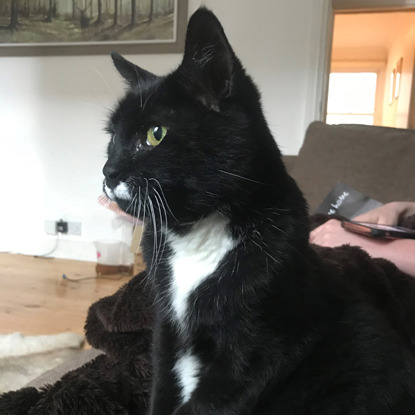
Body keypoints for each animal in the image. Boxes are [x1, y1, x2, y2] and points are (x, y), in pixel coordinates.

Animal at [105, 7, 415, 415]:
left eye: (156, 134)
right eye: (112, 137)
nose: (108, 172)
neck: (199, 234)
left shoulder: (261, 351)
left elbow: (207, 402)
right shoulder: (166, 331)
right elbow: (162, 387)